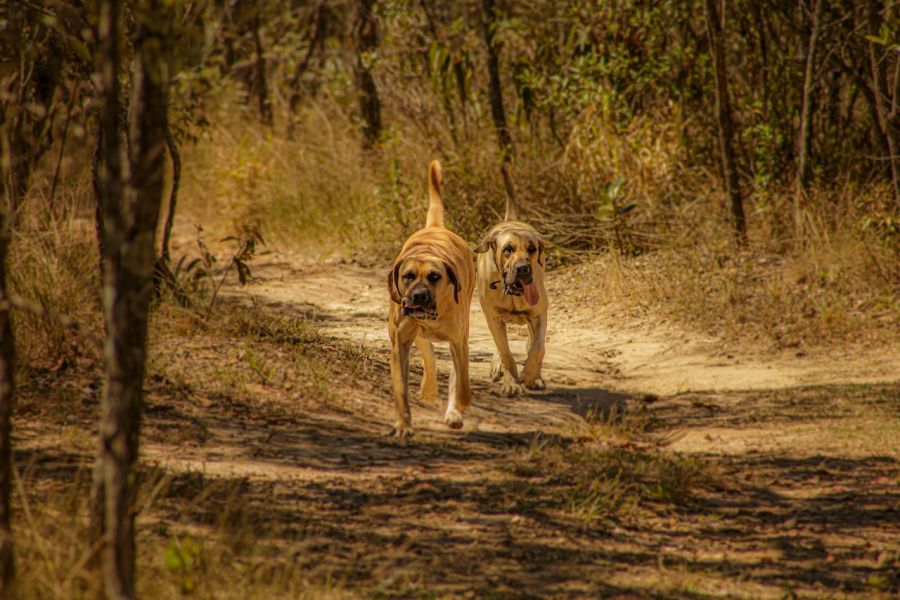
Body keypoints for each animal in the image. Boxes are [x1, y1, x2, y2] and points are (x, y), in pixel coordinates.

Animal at [384, 159, 474, 436]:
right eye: (408, 276)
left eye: (435, 277)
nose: (419, 296)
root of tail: (435, 227)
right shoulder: (400, 344)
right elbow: (401, 390)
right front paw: (403, 423)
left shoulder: (458, 341)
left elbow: (461, 380)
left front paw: (460, 405)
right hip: (416, 332)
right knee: (429, 356)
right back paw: (429, 389)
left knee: (456, 372)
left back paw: (454, 410)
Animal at [472, 172, 548, 398]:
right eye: (507, 250)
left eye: (532, 249)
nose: (523, 268)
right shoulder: (493, 318)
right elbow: (505, 352)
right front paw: (512, 383)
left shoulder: (539, 314)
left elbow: (538, 348)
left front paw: (531, 376)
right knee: (501, 345)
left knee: (532, 343)